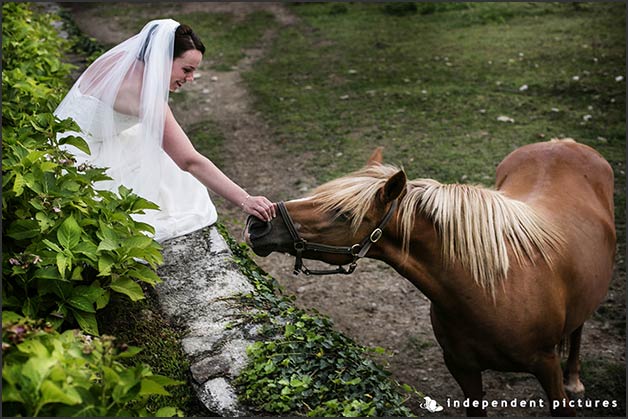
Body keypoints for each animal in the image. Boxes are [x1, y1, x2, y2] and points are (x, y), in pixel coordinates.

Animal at [244, 140, 612, 416]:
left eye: (343, 214)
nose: (257, 224)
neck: (493, 288)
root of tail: (562, 143)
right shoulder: (463, 368)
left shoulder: (546, 366)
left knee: (578, 328)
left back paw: (575, 378)